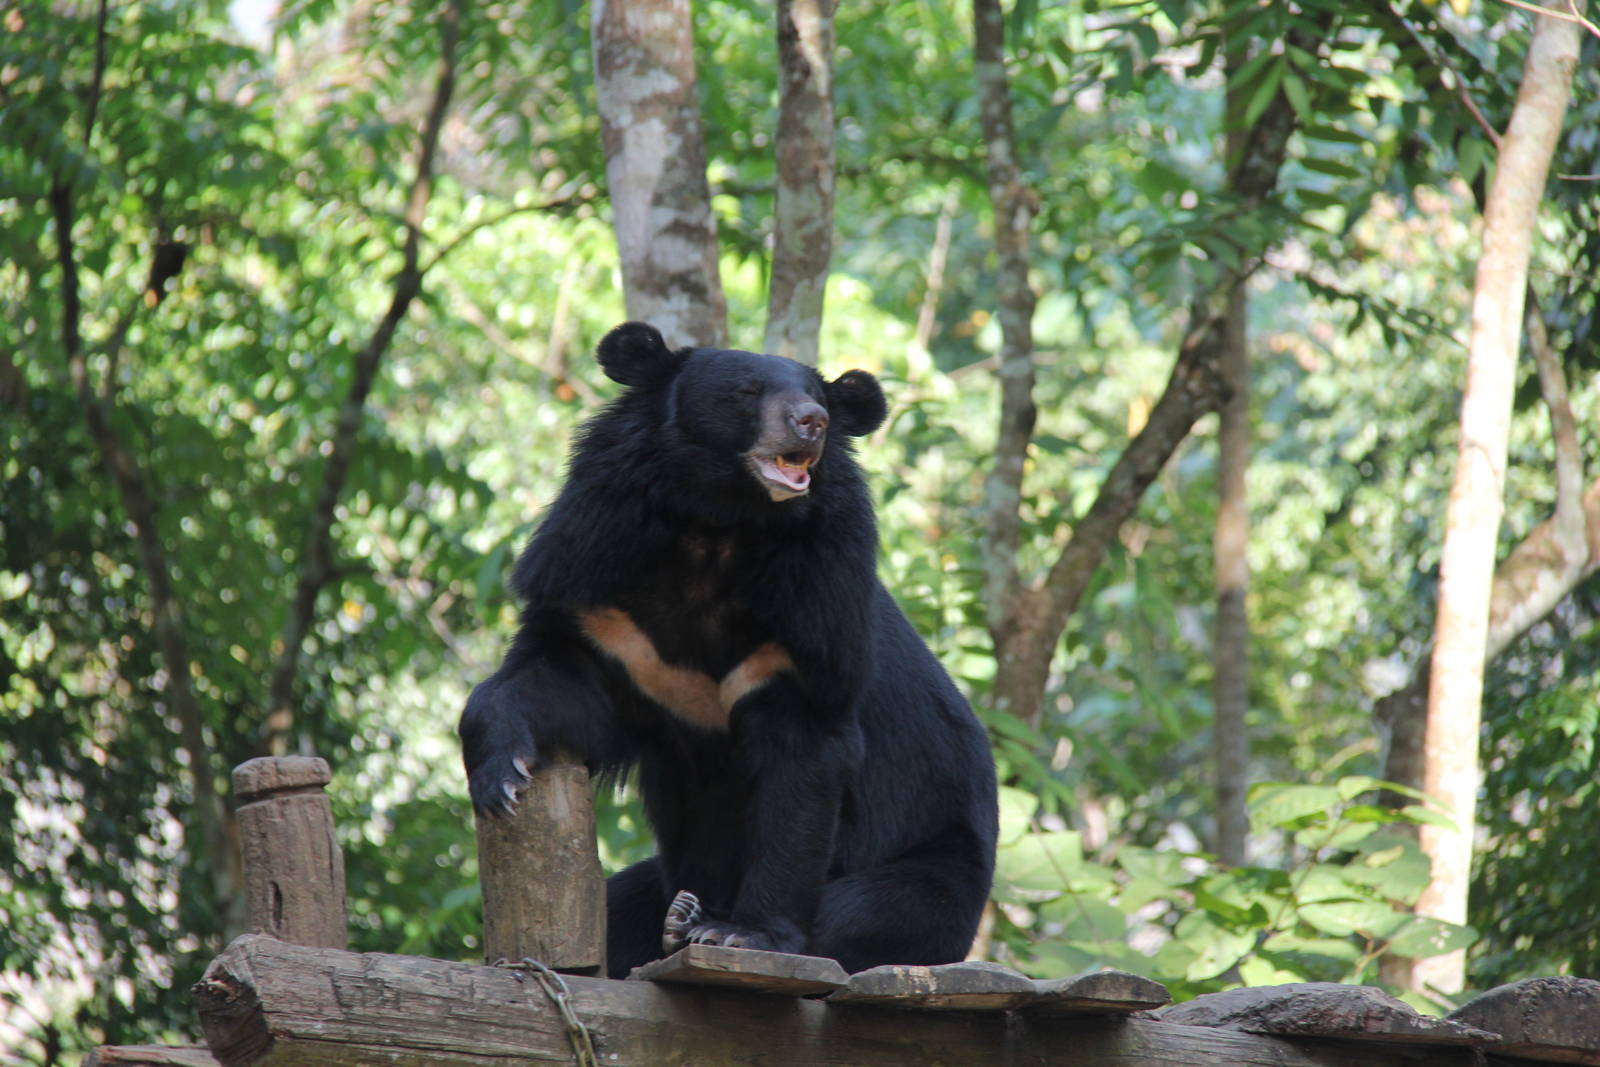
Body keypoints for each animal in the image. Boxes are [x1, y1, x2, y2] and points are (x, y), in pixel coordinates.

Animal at [460, 321, 997, 978]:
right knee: (620, 907)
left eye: (816, 394)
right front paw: (503, 781)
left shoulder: (814, 617)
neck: (718, 526)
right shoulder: (602, 588)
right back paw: (676, 915)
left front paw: (742, 933)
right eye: (747, 392)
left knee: (865, 912)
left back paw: (695, 921)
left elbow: (803, 769)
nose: (813, 421)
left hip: (935, 873)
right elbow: (554, 681)